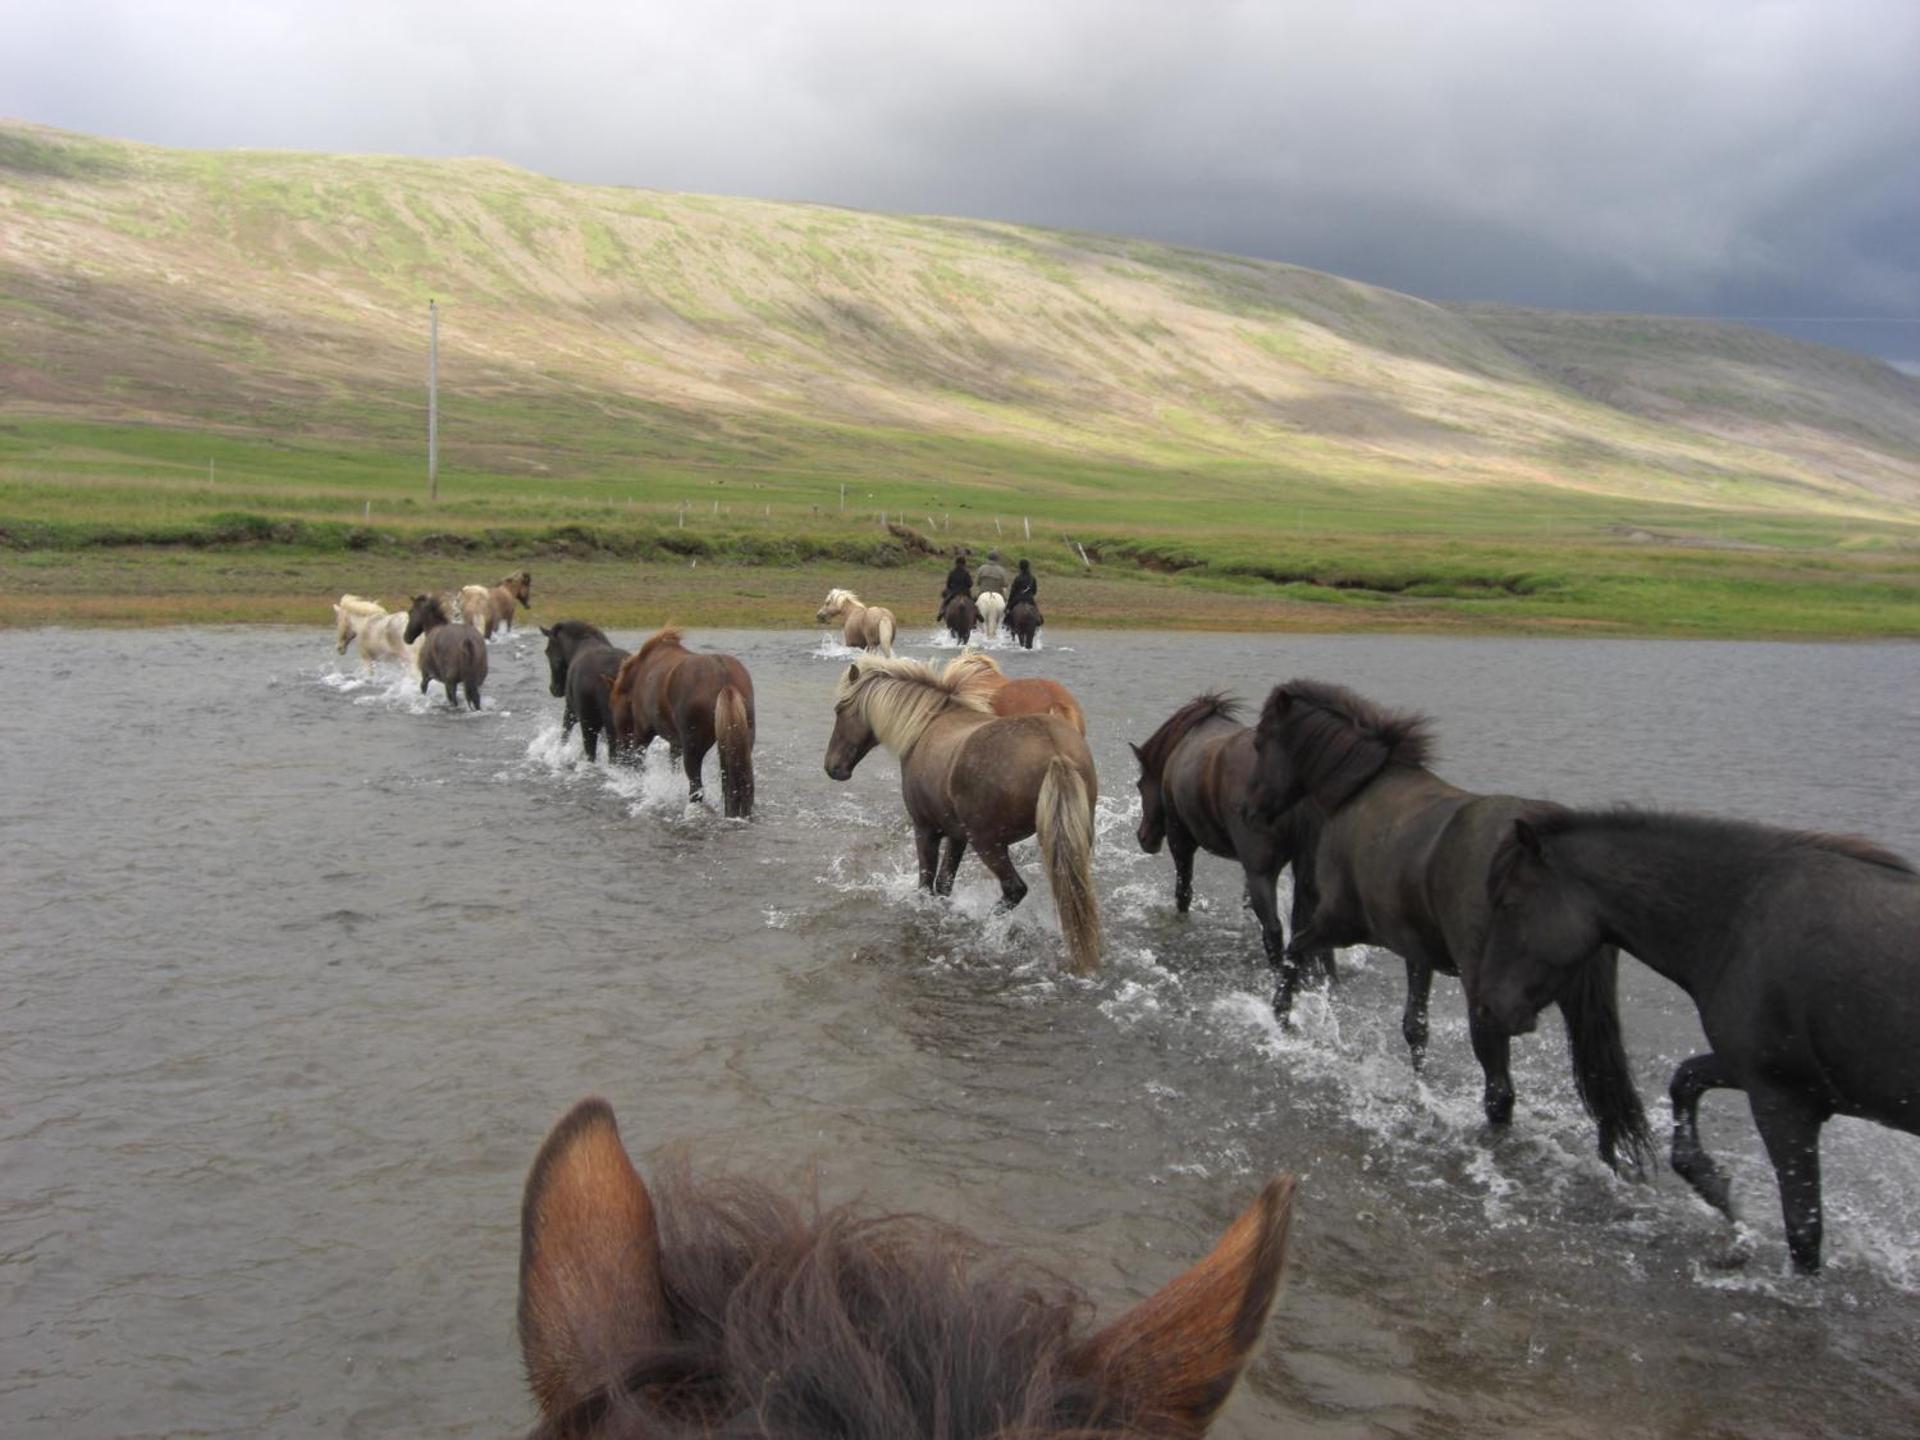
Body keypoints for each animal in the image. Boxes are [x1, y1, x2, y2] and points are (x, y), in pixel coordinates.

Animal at [605, 626, 755, 817]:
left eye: (612, 705)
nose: (621, 748)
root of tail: (725, 680)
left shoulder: (643, 733)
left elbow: (639, 763)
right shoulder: (675, 742)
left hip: (693, 750)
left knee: (696, 789)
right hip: (740, 745)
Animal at [1132, 694, 1335, 1018]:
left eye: (1140, 784)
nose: (1144, 837)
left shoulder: (1180, 840)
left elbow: (1183, 892)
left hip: (1262, 872)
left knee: (1275, 930)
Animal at [1249, 679, 1651, 1173]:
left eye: (1261, 740)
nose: (1251, 808)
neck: (1361, 790)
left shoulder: (1339, 922)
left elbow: (1295, 951)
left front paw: (1281, 1015)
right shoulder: (1415, 950)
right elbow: (1415, 1027)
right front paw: (1419, 1086)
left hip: (1491, 1004)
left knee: (1500, 1094)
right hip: (1583, 1010)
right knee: (1601, 1094)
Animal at [1475, 808, 1920, 1273]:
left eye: (1508, 904)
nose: (1487, 1006)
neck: (1740, 915)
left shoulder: (1783, 1100)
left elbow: (1803, 1230)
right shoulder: (1749, 1070)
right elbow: (1685, 1082)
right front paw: (1714, 1184)